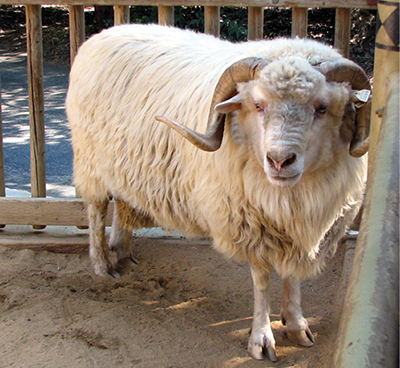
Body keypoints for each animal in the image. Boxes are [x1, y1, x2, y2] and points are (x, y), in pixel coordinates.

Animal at [65, 23, 372, 362]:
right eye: (258, 105)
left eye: (322, 108)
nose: (280, 160)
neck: (289, 196)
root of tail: (102, 34)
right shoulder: (251, 226)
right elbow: (262, 279)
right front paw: (261, 338)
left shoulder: (294, 230)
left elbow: (292, 276)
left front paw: (296, 324)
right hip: (91, 162)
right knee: (96, 211)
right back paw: (102, 265)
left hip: (123, 164)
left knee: (122, 200)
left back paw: (122, 252)